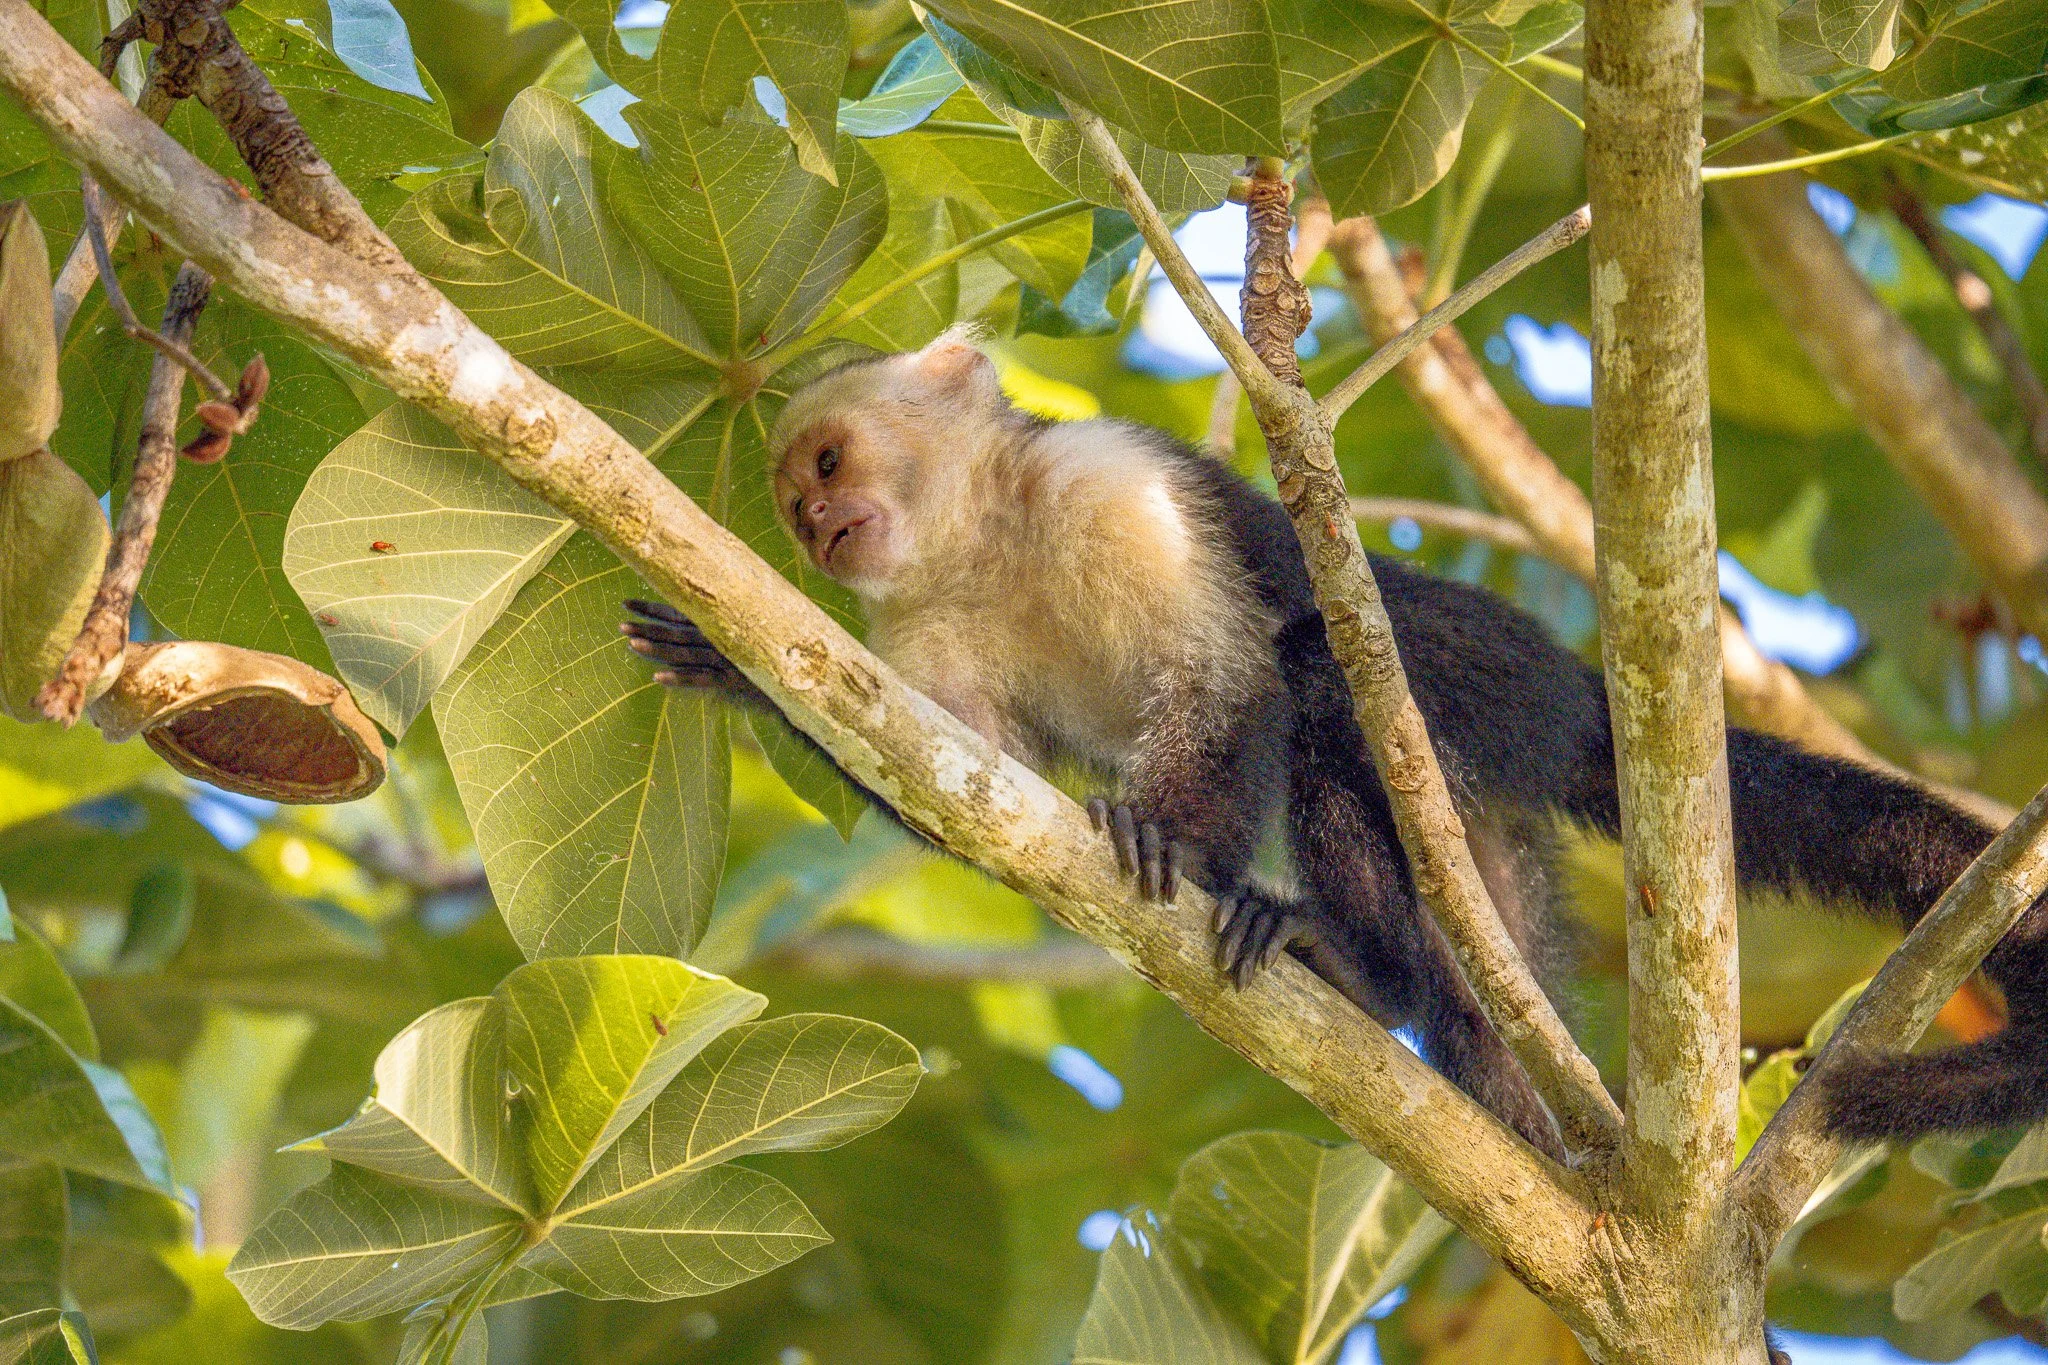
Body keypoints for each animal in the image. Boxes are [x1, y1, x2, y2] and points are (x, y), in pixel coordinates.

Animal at [622, 330, 2048, 1164]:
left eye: (823, 460)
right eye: (792, 502)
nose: (813, 527)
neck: (985, 538)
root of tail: (1581, 696)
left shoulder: (1108, 485)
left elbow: (1227, 678)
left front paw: (1170, 838)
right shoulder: (910, 623)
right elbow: (960, 775)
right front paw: (731, 665)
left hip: (1484, 672)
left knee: (1320, 669)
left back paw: (1362, 965)